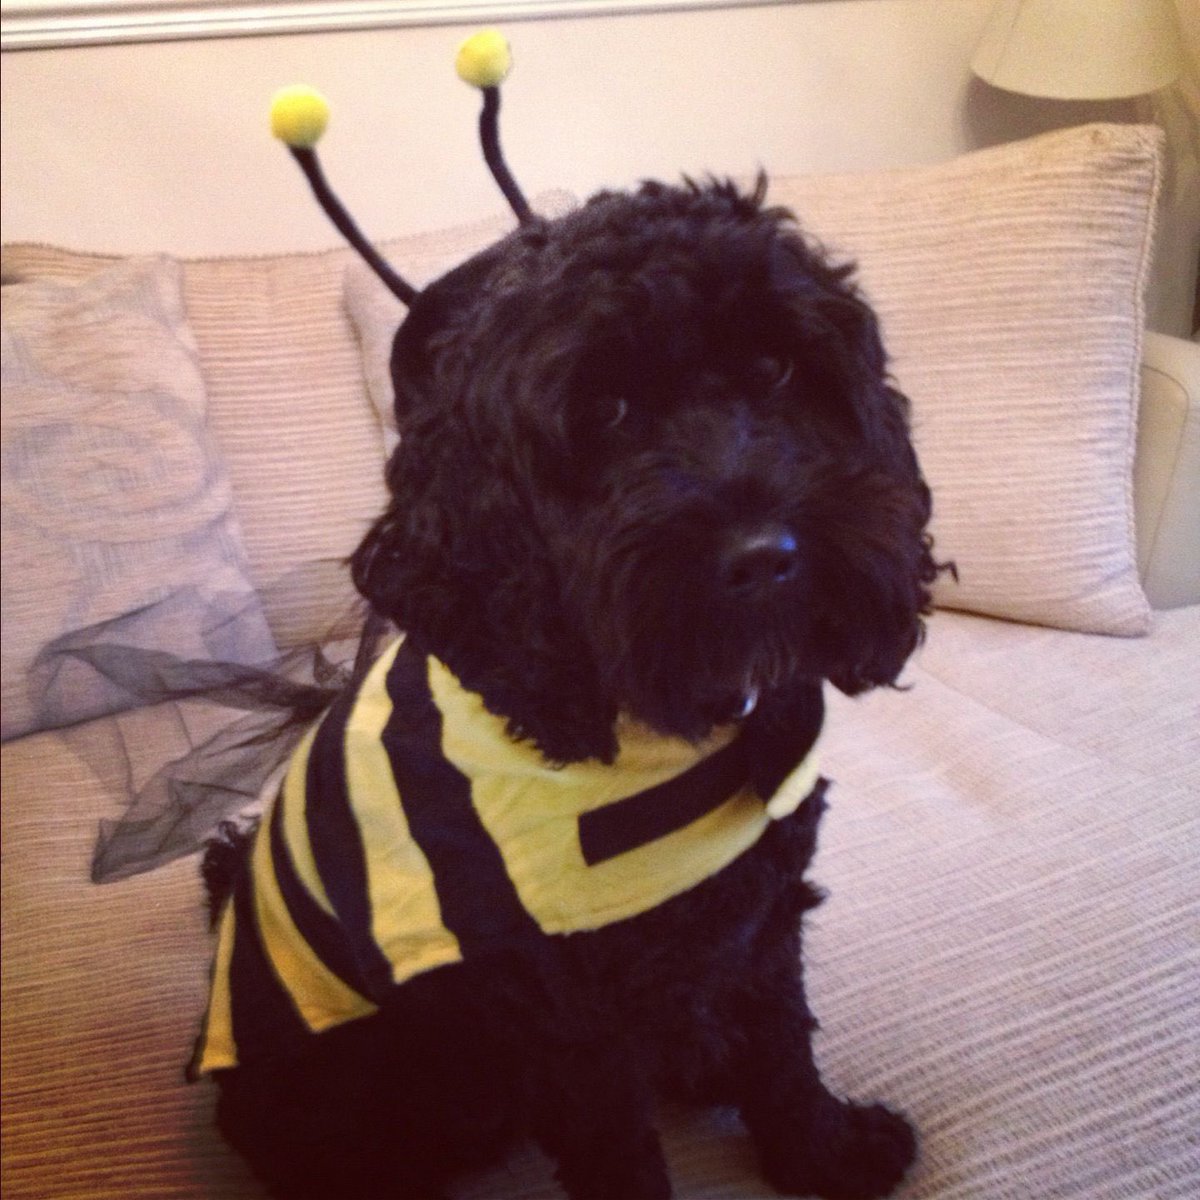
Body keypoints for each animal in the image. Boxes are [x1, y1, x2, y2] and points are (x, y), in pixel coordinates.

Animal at [206, 177, 936, 1200]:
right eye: (606, 413)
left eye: (775, 368)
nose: (765, 559)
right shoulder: (568, 1024)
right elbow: (620, 1152)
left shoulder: (760, 919)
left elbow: (785, 1048)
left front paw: (821, 1153)